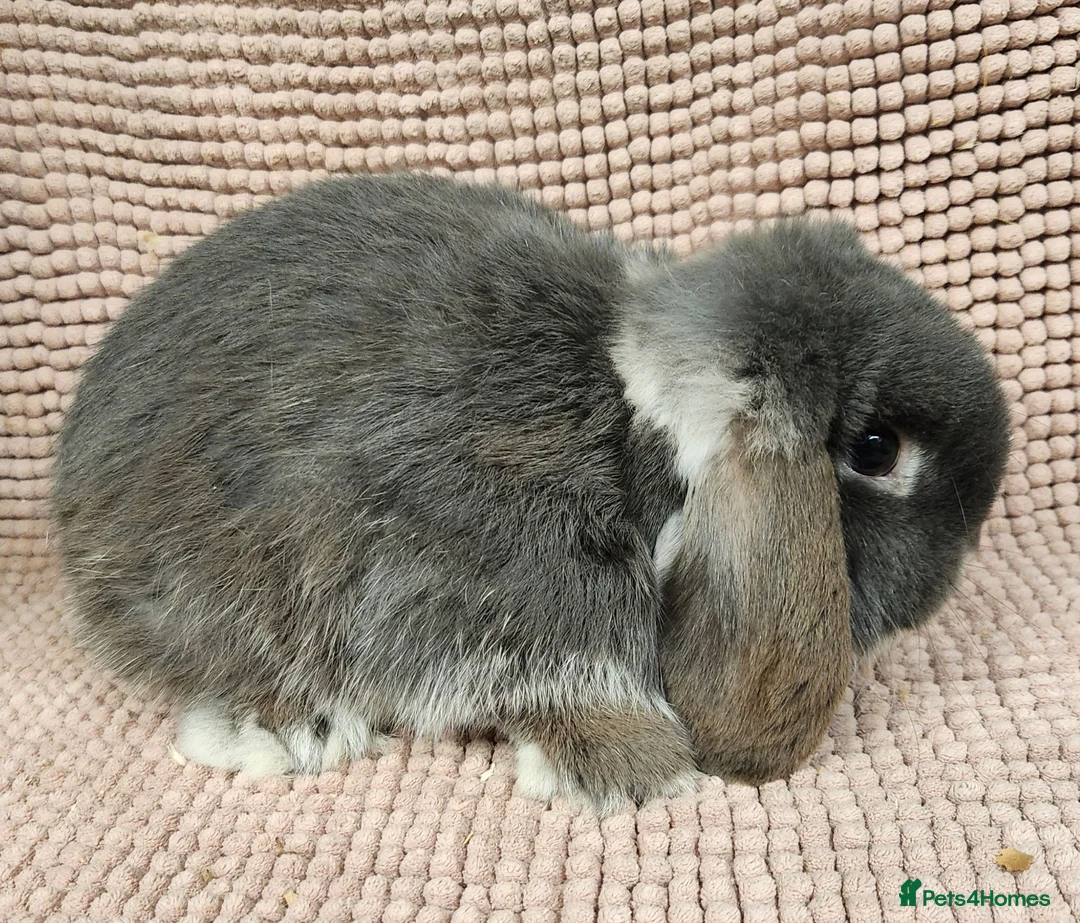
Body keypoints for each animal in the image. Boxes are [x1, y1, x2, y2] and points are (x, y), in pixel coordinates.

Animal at [52, 171, 1010, 812]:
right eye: (878, 450)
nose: (947, 582)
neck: (632, 429)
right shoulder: (488, 575)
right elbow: (546, 673)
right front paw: (633, 766)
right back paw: (289, 727)